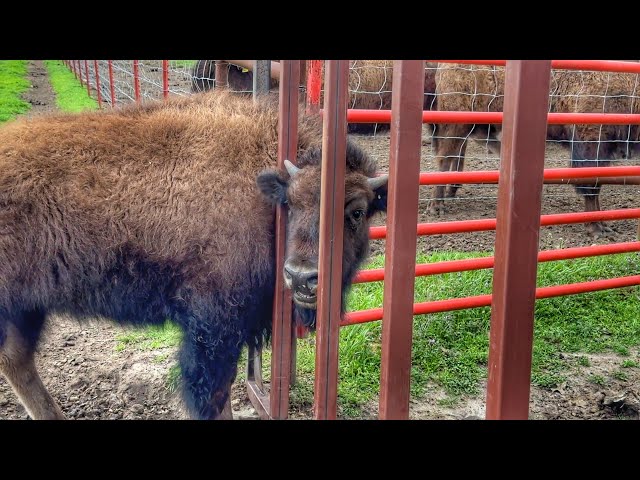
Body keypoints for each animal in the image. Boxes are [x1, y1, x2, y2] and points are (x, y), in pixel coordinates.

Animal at [0, 90, 390, 420]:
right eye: (290, 204)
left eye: (357, 212)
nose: (301, 276)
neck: (261, 196)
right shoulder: (213, 323)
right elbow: (211, 394)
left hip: (27, 308)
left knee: (17, 359)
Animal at [430, 62, 640, 237]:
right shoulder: (590, 144)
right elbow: (590, 186)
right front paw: (595, 229)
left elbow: (597, 184)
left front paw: (604, 225)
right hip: (456, 124)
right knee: (444, 158)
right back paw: (436, 207)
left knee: (451, 156)